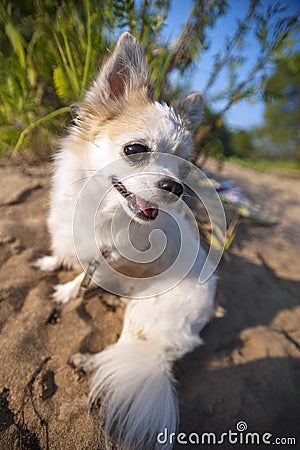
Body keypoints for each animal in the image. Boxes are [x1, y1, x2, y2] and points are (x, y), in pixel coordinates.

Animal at [35, 32, 218, 450]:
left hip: (143, 314)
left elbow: (82, 276)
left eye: (183, 168)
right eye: (135, 150)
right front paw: (52, 263)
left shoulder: (102, 257)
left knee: (124, 349)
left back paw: (88, 361)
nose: (176, 186)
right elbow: (62, 251)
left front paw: (66, 292)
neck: (102, 208)